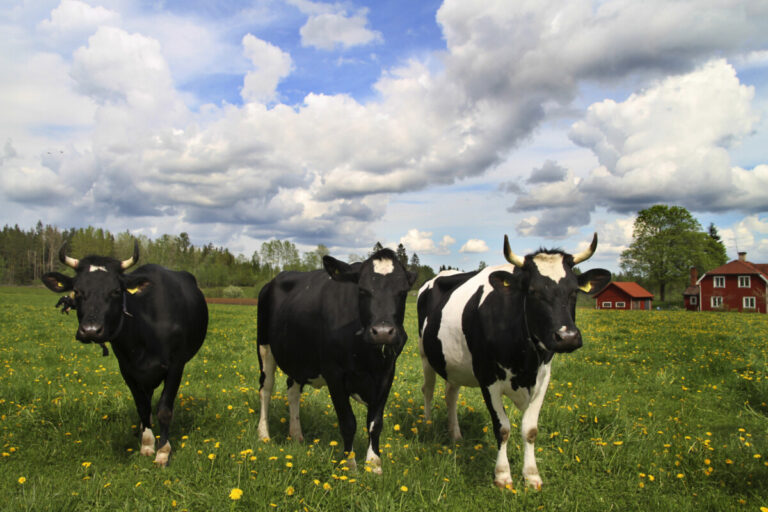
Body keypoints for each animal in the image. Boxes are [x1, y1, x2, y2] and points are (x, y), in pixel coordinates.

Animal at [41, 242, 207, 466]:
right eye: (77, 290)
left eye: (116, 291)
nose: (91, 330)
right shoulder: (128, 369)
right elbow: (142, 406)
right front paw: (147, 444)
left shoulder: (176, 365)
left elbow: (164, 409)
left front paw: (163, 452)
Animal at [416, 234, 608, 490]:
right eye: (533, 291)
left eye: (574, 291)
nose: (567, 337)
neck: (525, 362)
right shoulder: (488, 378)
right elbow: (503, 428)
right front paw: (503, 475)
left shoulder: (543, 377)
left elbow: (530, 430)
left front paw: (532, 475)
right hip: (425, 355)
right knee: (428, 389)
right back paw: (427, 425)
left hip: (453, 362)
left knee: (451, 394)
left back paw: (455, 434)